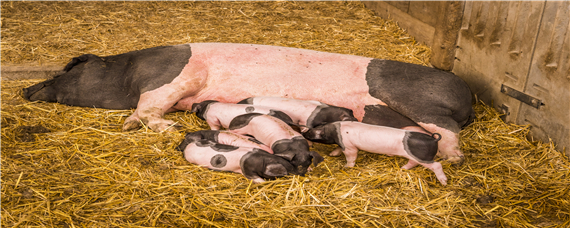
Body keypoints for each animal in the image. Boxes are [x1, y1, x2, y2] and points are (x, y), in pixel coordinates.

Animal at [23, 42, 470, 163]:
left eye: (67, 71)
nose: (26, 90)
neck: (128, 73)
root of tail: (466, 92)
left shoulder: (174, 79)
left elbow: (150, 106)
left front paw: (155, 126)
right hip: (386, 114)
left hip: (418, 102)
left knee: (445, 129)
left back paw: (453, 158)